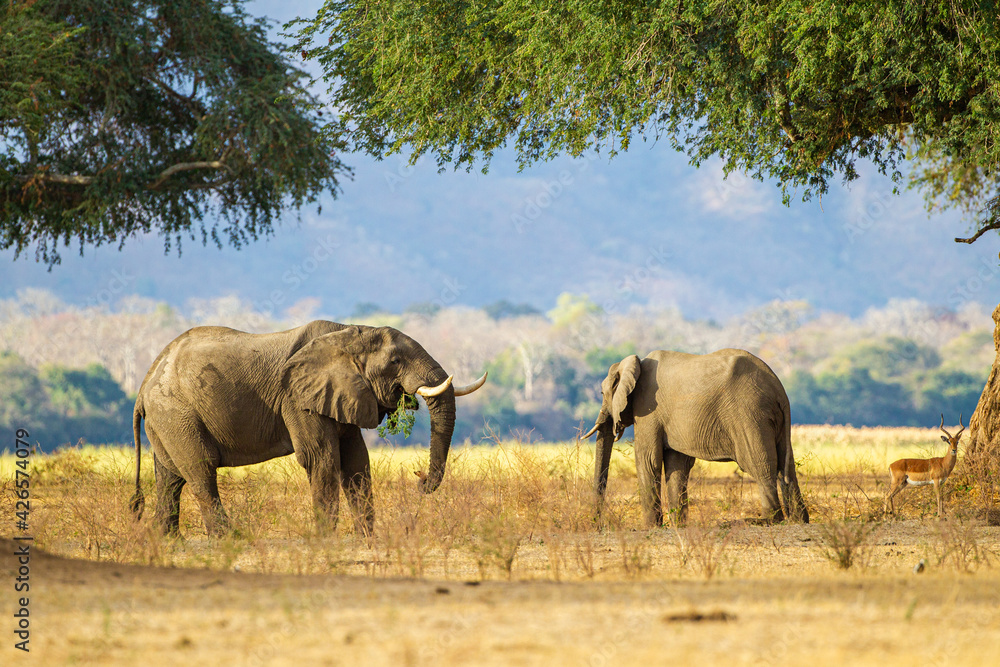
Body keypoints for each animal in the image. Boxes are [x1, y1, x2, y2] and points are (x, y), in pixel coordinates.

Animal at [129, 320, 486, 537]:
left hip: (167, 420)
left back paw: (168, 542)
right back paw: (229, 539)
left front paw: (367, 539)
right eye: (396, 361)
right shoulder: (297, 398)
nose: (420, 479)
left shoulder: (342, 394)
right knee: (200, 471)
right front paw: (326, 541)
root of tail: (143, 386)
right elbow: (321, 459)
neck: (347, 333)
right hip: (177, 413)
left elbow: (356, 462)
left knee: (170, 477)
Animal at [580, 349, 808, 526]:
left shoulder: (647, 408)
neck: (635, 363)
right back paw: (799, 519)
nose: (597, 524)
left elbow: (648, 459)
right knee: (786, 466)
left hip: (749, 415)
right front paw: (678, 525)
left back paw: (767, 520)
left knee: (760, 465)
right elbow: (677, 464)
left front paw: (649, 528)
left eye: (602, 393)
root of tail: (778, 389)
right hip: (770, 418)